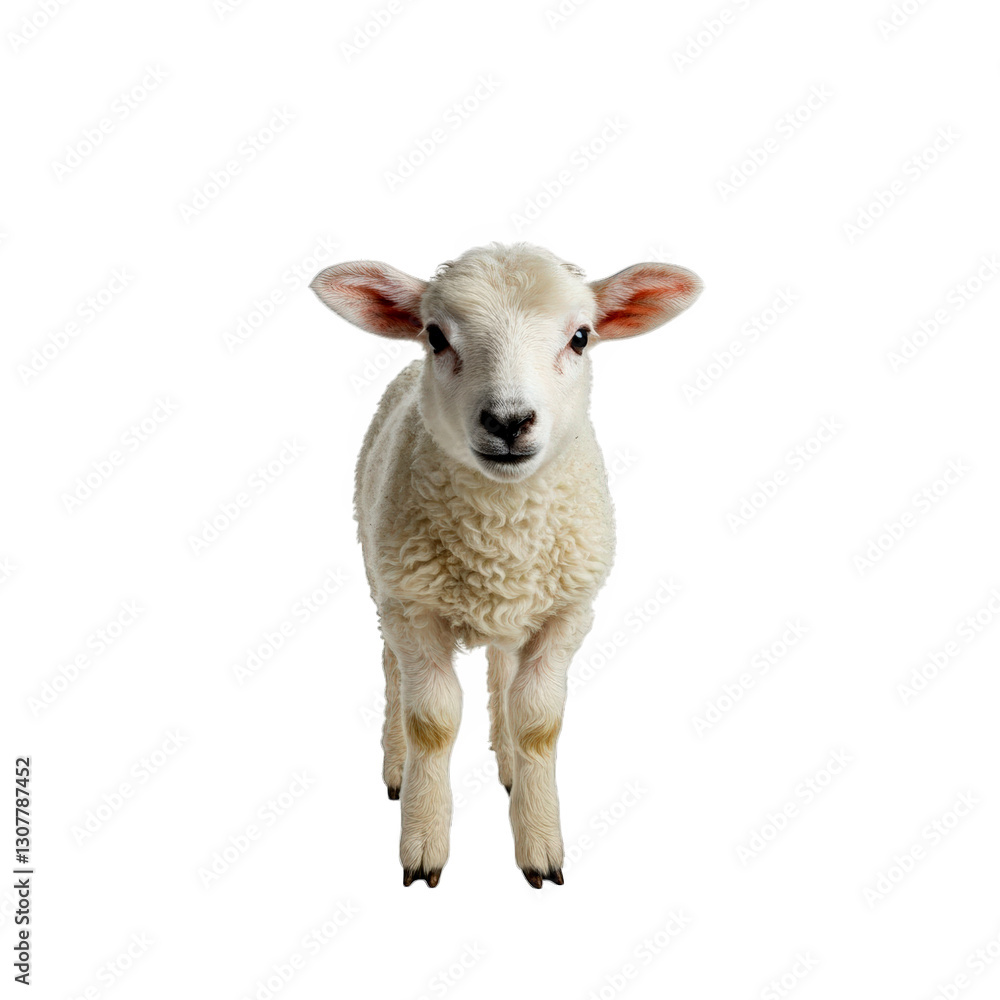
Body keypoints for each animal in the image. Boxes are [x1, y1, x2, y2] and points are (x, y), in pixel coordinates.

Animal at [311, 242, 702, 888]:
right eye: (436, 335)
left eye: (580, 337)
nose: (508, 421)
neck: (502, 529)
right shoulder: (414, 609)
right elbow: (432, 721)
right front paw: (423, 844)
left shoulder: (568, 613)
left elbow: (538, 721)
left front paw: (539, 843)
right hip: (380, 574)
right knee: (392, 669)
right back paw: (396, 766)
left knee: (501, 666)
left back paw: (510, 767)